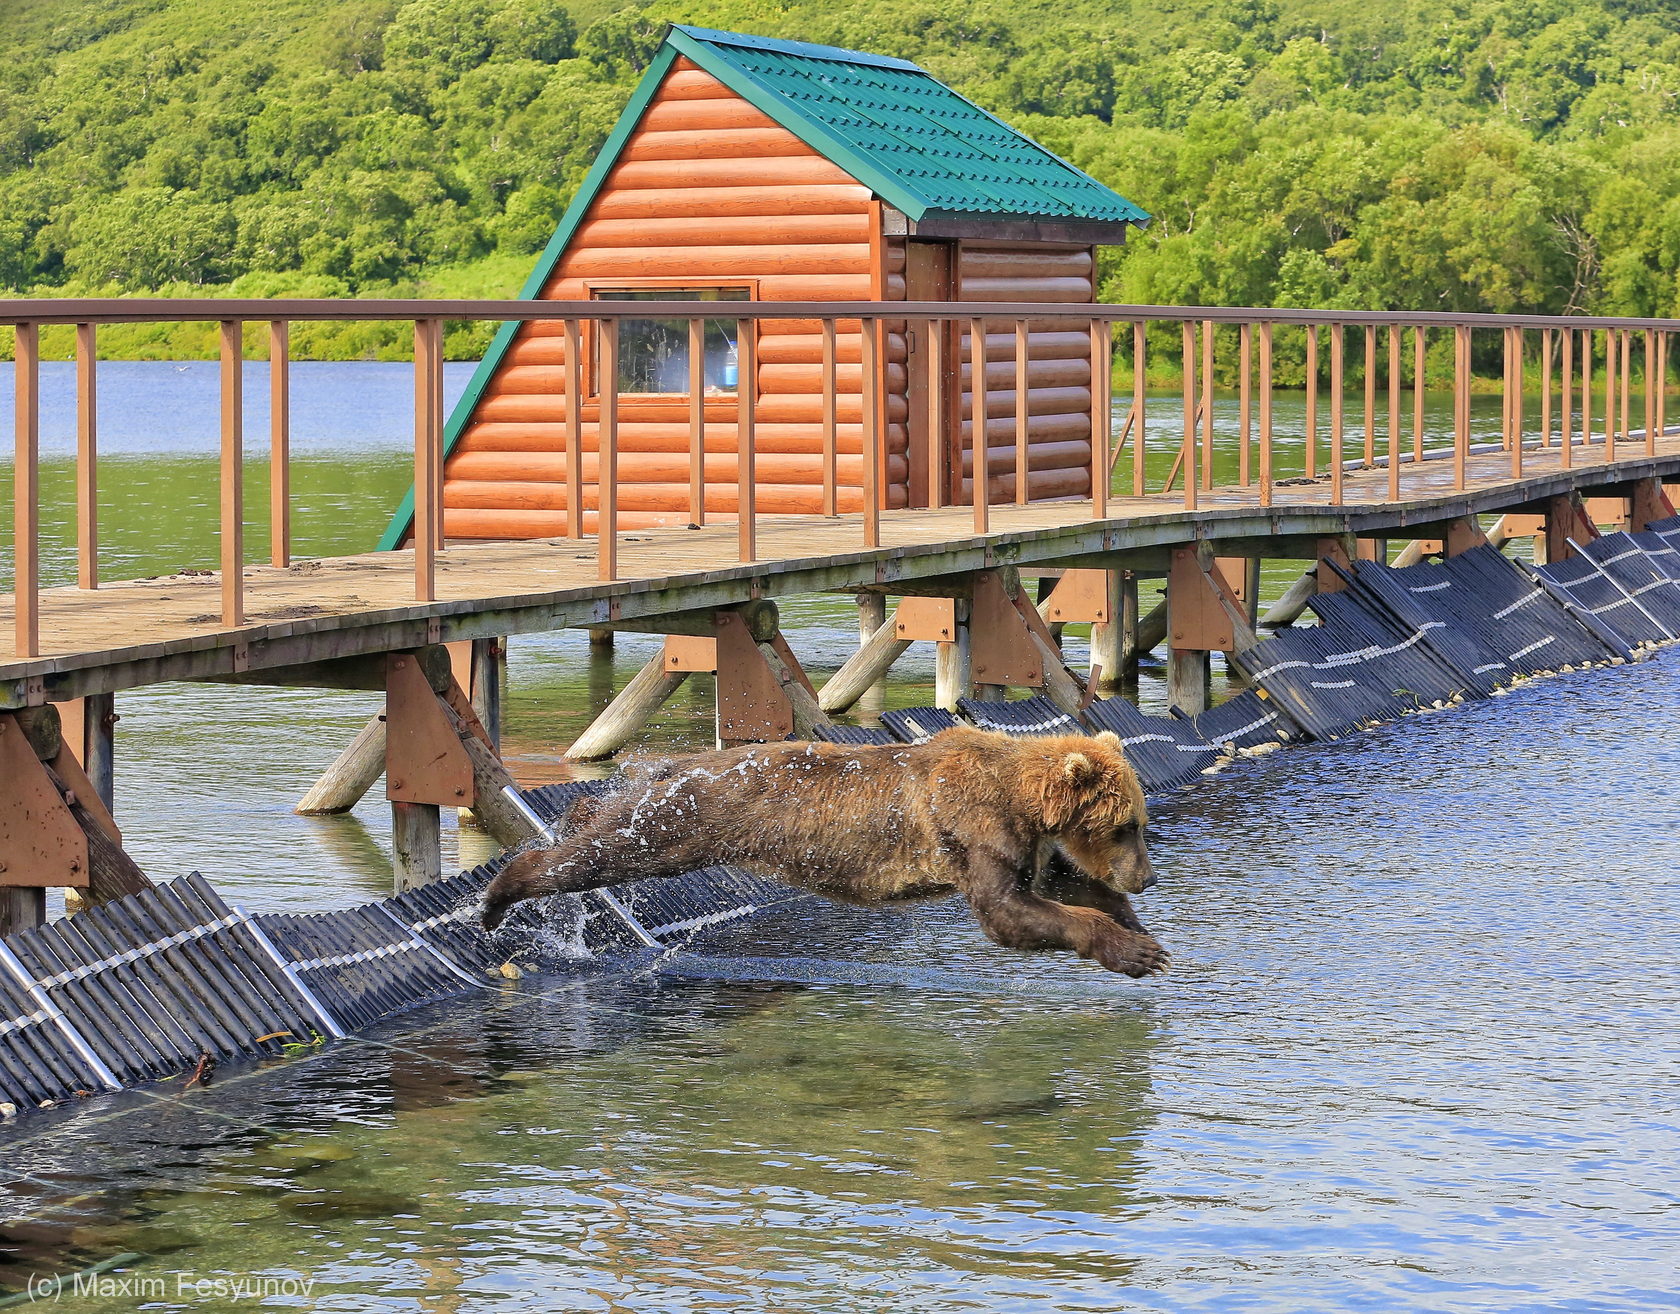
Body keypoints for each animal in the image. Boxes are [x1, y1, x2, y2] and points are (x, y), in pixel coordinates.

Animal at [483, 729, 1169, 974]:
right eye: (1127, 825)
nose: (1147, 877)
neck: (1020, 800)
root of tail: (669, 769)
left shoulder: (1028, 843)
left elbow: (1051, 888)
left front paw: (1142, 933)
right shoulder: (974, 828)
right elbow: (1008, 911)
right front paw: (1134, 953)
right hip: (678, 823)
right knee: (598, 853)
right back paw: (497, 897)